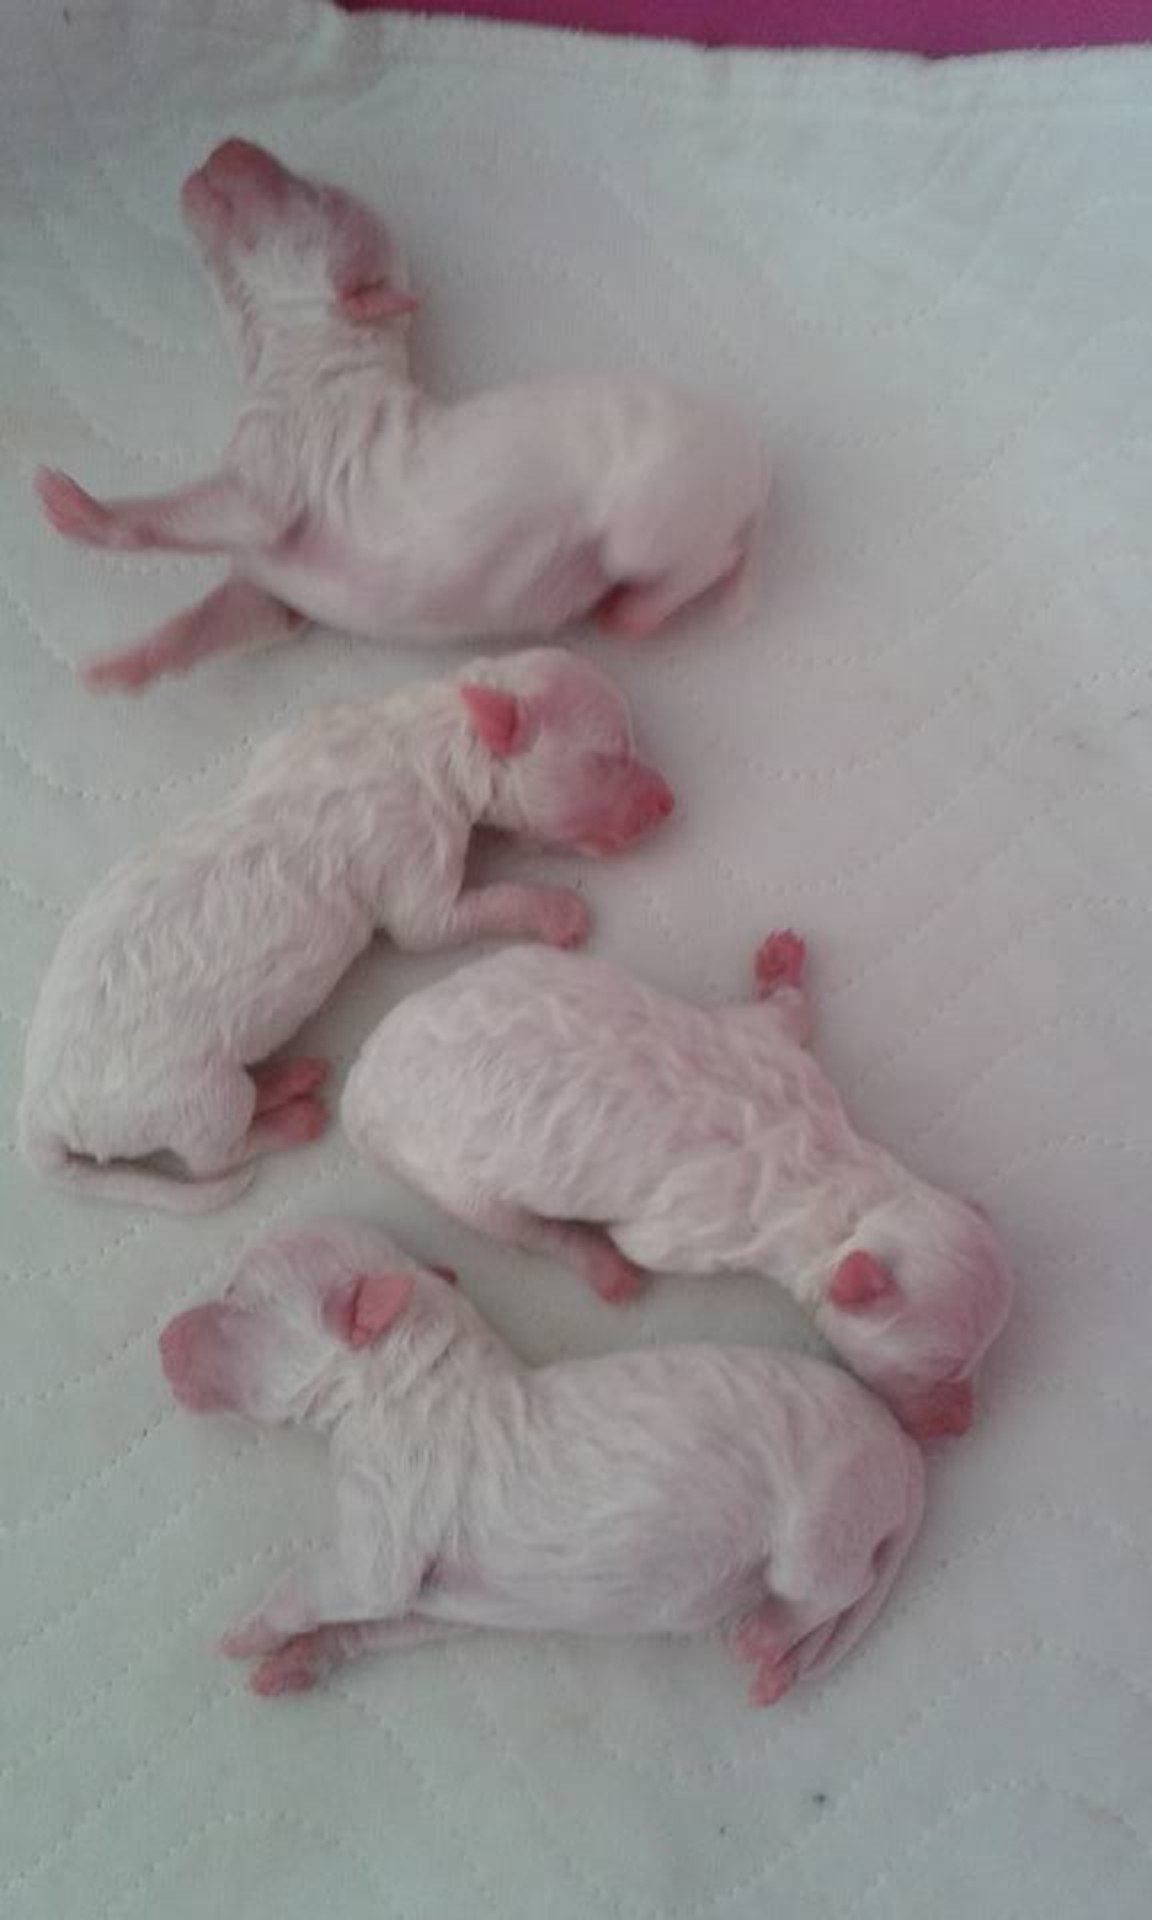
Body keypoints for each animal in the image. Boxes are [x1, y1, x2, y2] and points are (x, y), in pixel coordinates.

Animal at [17, 648, 672, 1211]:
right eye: (613, 756)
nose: (669, 801)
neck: (431, 731)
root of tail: (40, 1115)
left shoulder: (299, 735)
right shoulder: (412, 843)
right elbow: (431, 925)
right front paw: (558, 909)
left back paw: (284, 1079)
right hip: (183, 1096)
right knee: (211, 1154)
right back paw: (289, 1117)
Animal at [35, 137, 769, 693]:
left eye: (316, 197)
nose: (228, 142)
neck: (310, 355)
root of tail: (755, 464)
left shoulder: (279, 463)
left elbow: (223, 507)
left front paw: (86, 509)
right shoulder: (271, 590)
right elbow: (235, 613)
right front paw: (130, 663)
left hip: (658, 504)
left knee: (709, 556)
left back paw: (637, 610)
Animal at [159, 1217, 925, 1706]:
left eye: (236, 1297)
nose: (161, 1338)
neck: (402, 1371)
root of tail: (902, 1450)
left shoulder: (392, 1493)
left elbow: (342, 1578)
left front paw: (248, 1631)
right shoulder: (444, 1602)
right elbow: (386, 1616)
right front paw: (300, 1660)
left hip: (827, 1509)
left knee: (835, 1585)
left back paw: (767, 1636)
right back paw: (777, 1662)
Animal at [341, 936, 1013, 1441]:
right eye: (940, 1373)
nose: (960, 1424)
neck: (849, 1201)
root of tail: (364, 1081)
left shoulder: (784, 1065)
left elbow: (777, 1019)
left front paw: (780, 970)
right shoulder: (695, 1231)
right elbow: (638, 1239)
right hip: (444, 1171)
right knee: (515, 1226)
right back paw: (597, 1264)